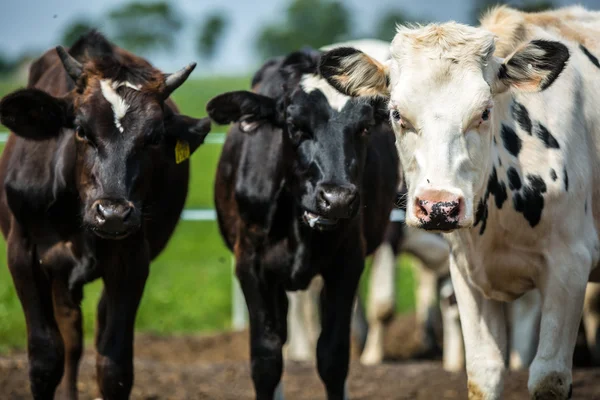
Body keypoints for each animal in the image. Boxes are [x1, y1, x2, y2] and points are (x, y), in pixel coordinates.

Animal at [0, 32, 211, 400]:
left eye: (154, 137)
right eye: (81, 130)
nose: (112, 213)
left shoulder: (132, 261)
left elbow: (114, 366)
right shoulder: (23, 253)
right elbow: (45, 358)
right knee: (70, 336)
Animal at [206, 39, 398, 400]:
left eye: (364, 128)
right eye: (295, 126)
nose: (336, 198)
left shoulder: (346, 263)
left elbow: (333, 356)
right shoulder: (251, 264)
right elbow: (266, 358)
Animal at [322, 4, 600, 398]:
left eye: (484, 111)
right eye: (396, 113)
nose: (438, 207)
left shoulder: (570, 266)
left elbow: (548, 377)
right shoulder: (466, 274)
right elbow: (483, 373)